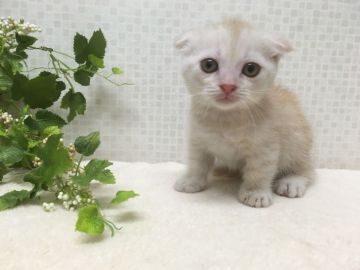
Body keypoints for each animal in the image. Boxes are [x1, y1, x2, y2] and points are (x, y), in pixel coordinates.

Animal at [175, 20, 316, 208]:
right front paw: (191, 180)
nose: (227, 86)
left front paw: (255, 193)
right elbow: (196, 162)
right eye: (209, 65)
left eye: (251, 69)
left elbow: (259, 171)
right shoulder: (197, 140)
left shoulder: (266, 146)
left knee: (306, 168)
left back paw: (292, 181)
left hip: (298, 139)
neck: (226, 119)